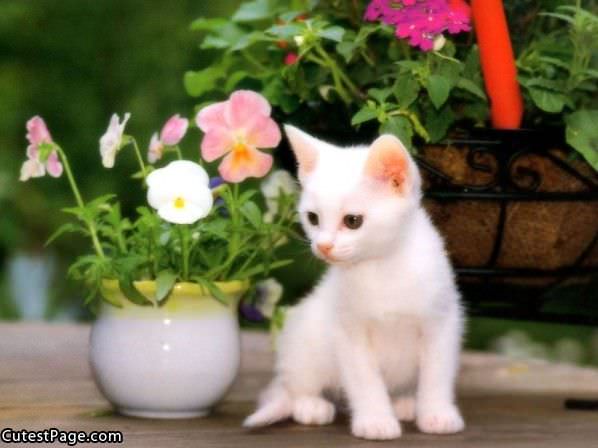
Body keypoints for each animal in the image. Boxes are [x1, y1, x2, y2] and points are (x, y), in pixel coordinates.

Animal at [244, 126, 468, 440]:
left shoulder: (442, 320)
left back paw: (404, 402)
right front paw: (375, 420)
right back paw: (310, 405)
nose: (323, 246)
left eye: (353, 221)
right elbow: (364, 379)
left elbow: (437, 374)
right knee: (292, 387)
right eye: (313, 218)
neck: (380, 268)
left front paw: (436, 413)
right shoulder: (348, 331)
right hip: (304, 340)